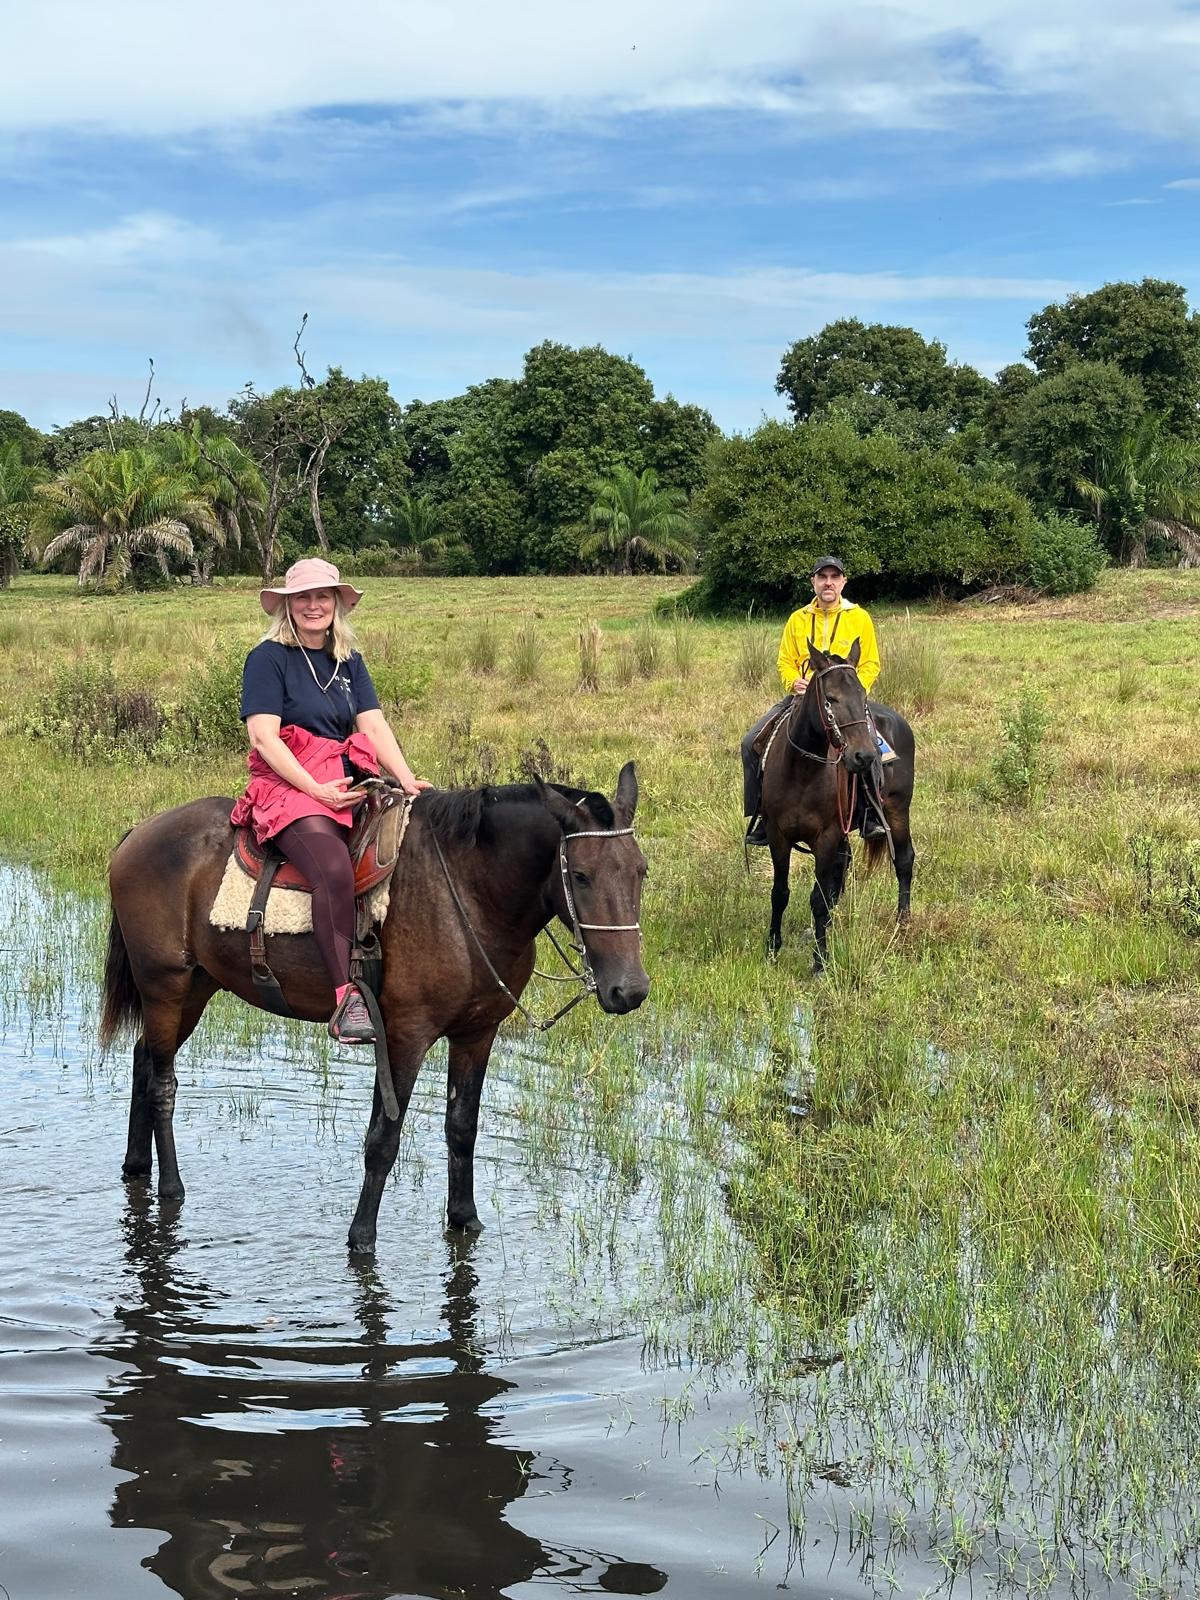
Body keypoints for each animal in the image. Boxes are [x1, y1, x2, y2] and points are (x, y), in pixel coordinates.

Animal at [100, 764, 649, 1254]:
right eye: (581, 876)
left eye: (641, 871)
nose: (630, 991)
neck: (468, 894)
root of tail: (137, 835)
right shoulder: (406, 1035)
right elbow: (383, 1139)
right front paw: (361, 1239)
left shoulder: (477, 1034)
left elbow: (462, 1129)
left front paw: (465, 1219)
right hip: (165, 985)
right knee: (163, 1083)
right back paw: (171, 1187)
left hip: (196, 988)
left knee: (144, 1059)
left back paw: (136, 1165)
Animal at [757, 643, 915, 969]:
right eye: (830, 699)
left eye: (861, 695)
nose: (864, 756)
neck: (802, 773)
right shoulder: (778, 836)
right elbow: (780, 892)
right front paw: (772, 948)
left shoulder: (826, 837)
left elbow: (817, 898)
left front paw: (820, 960)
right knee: (844, 866)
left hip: (897, 811)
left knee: (904, 860)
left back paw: (903, 922)